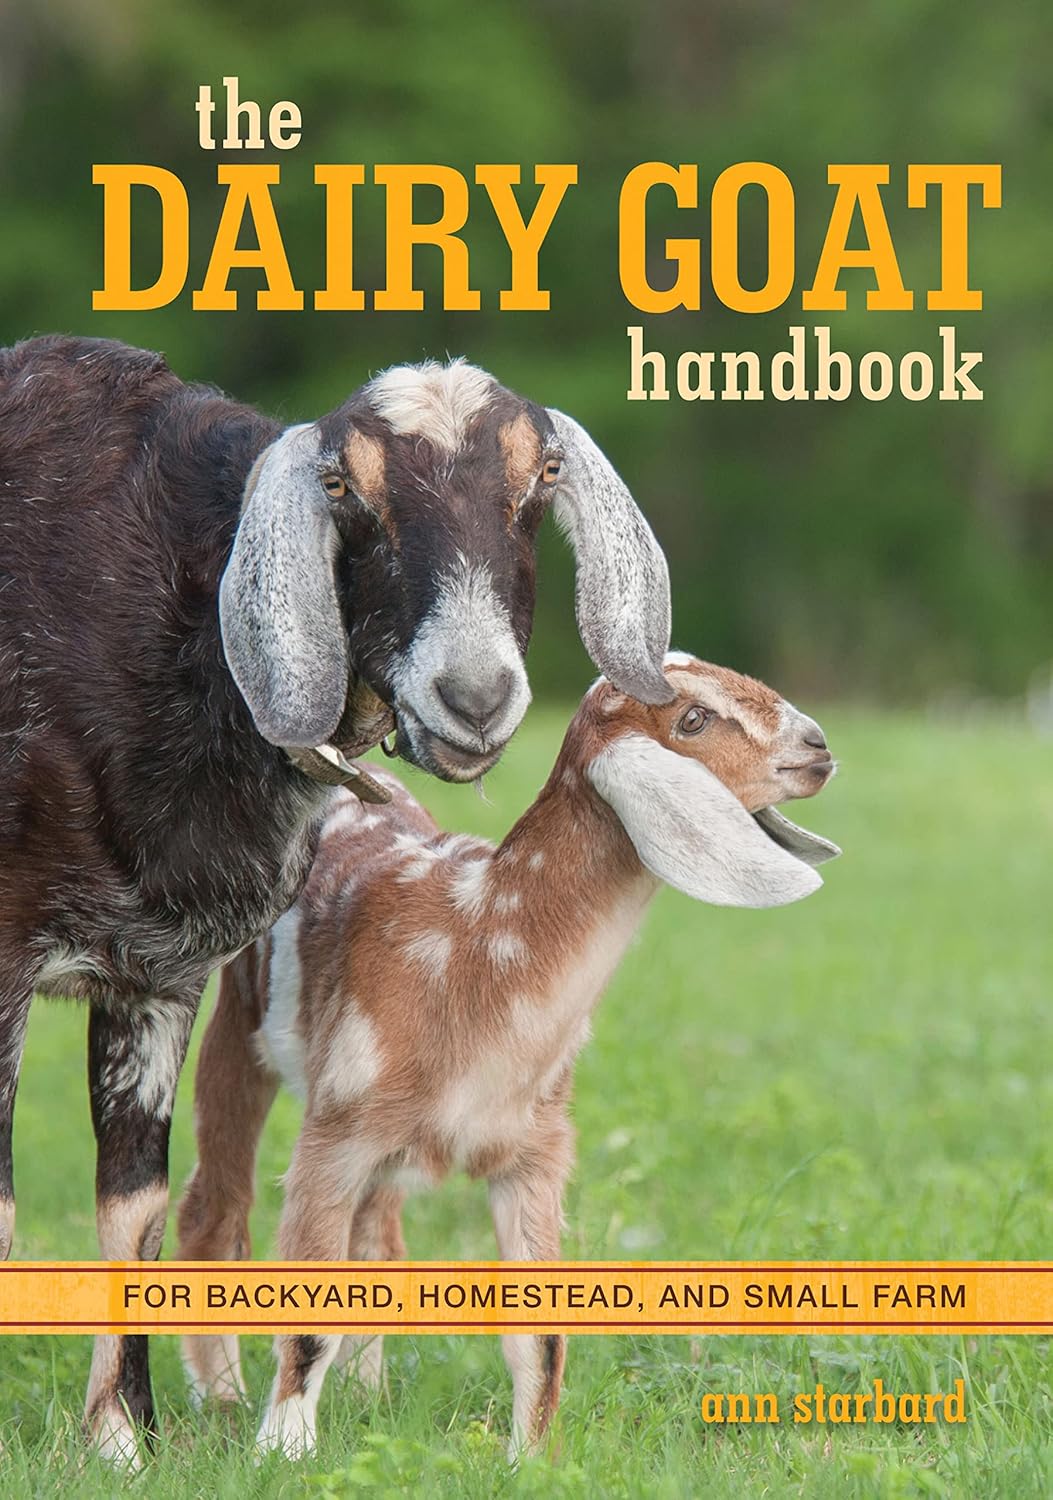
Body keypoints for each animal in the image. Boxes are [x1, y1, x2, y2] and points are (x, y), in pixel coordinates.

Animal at [0, 335, 671, 1463]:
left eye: (540, 476)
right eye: (343, 488)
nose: (475, 697)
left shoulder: (153, 971)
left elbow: (131, 1209)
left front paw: (122, 1440)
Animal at [177, 652, 840, 1459]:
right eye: (693, 718)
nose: (816, 747)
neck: (474, 953)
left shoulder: (536, 1150)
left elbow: (540, 1335)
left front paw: (532, 1457)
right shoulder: (334, 1136)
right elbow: (309, 1315)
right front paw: (284, 1452)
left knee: (378, 1240)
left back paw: (369, 1397)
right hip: (239, 1026)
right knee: (213, 1208)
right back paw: (223, 1402)